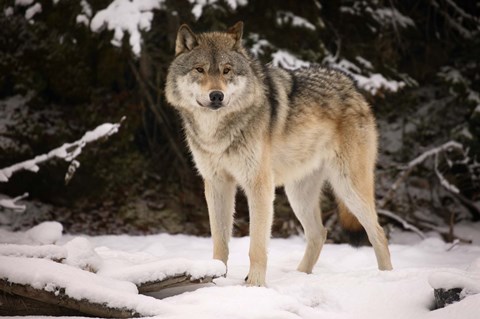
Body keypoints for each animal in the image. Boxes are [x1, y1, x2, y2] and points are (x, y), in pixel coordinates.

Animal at [166, 21, 394, 288]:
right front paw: (216, 280)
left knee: (378, 233)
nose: (216, 96)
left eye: (226, 70)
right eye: (199, 69)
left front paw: (254, 286)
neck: (217, 132)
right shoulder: (216, 183)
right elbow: (220, 242)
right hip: (298, 194)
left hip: (349, 188)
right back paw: (300, 276)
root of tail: (352, 87)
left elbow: (256, 246)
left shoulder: (259, 185)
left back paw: (388, 278)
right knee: (319, 233)